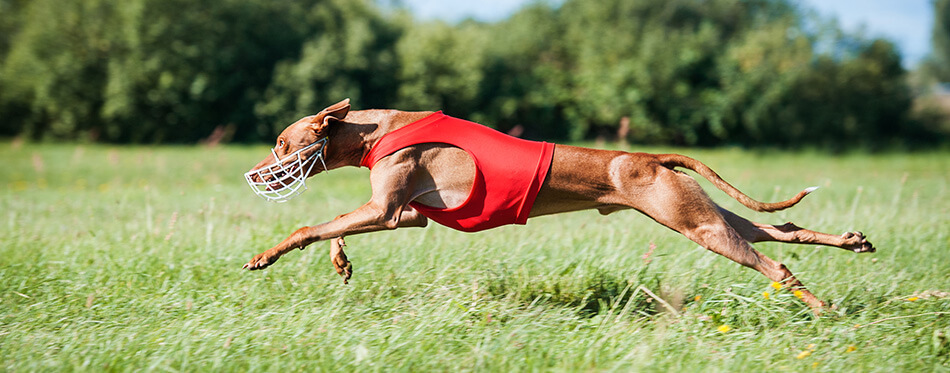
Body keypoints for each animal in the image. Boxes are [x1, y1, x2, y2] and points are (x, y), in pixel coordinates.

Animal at [244, 97, 876, 310]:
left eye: (281, 143)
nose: (256, 172)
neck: (376, 130)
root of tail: (652, 156)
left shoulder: (388, 210)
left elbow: (309, 225)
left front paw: (263, 257)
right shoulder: (403, 215)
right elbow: (333, 228)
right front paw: (342, 263)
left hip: (699, 227)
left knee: (776, 262)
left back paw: (823, 310)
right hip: (708, 215)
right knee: (786, 231)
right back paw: (852, 242)